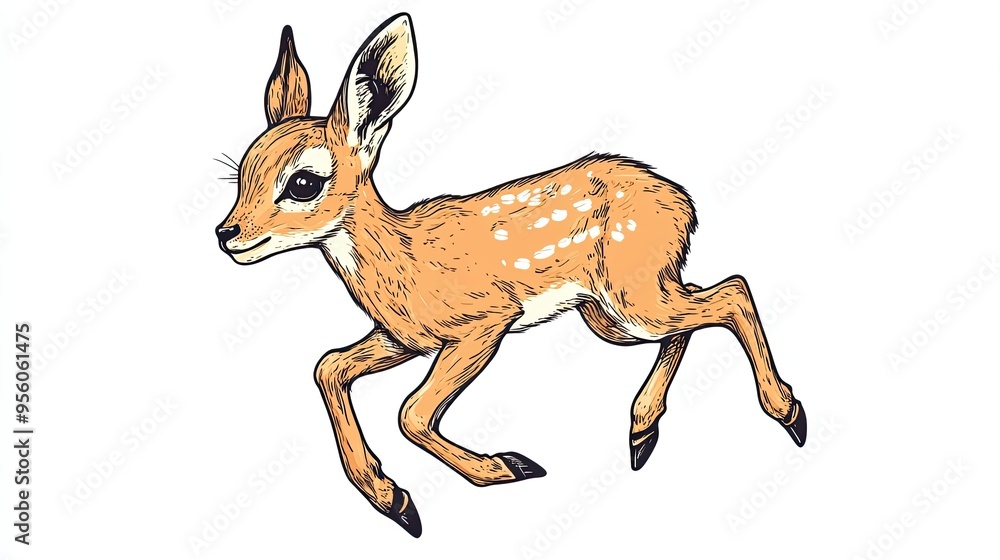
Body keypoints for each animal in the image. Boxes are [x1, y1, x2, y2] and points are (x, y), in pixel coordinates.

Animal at [216, 13, 806, 538]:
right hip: (611, 309)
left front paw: (502, 468)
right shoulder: (402, 338)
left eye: (303, 183)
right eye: (241, 173)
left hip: (630, 294)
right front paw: (391, 498)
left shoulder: (485, 320)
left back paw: (788, 414)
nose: (227, 234)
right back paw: (642, 431)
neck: (403, 263)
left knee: (732, 291)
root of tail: (683, 201)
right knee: (700, 302)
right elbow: (329, 367)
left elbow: (412, 412)